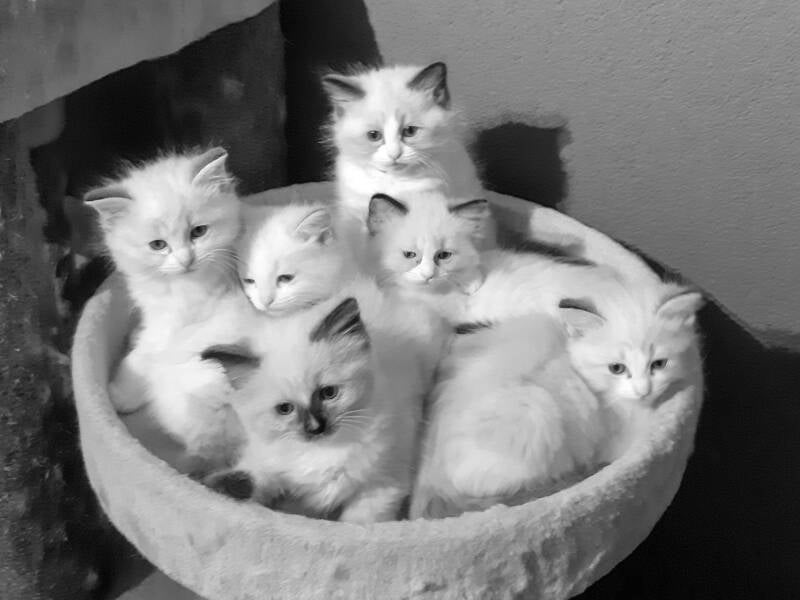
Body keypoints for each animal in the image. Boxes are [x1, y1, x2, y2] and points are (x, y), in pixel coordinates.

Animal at [204, 280, 444, 523]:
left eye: (328, 393)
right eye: (285, 409)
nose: (315, 428)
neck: (325, 450)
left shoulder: (381, 486)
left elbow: (357, 523)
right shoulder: (269, 466)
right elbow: (253, 479)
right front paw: (222, 487)